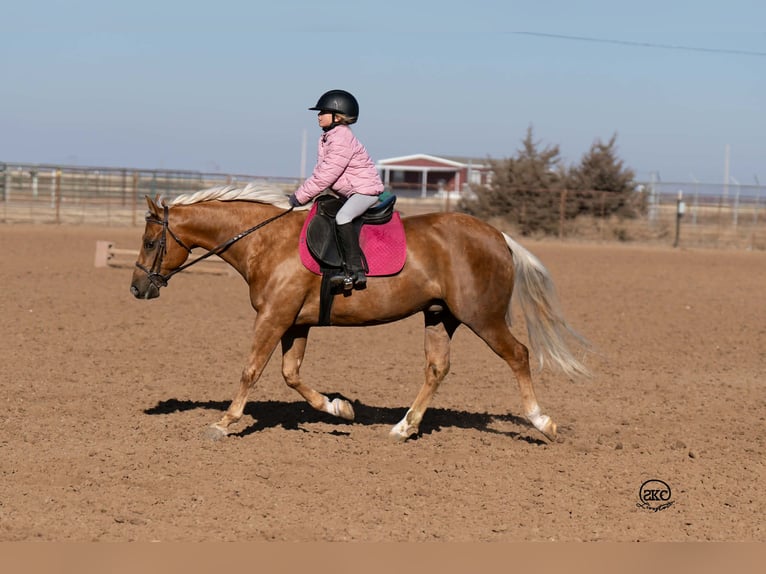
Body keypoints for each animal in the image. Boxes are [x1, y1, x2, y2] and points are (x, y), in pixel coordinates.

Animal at [129, 183, 589, 443]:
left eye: (151, 242)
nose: (137, 289)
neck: (266, 242)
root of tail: (499, 237)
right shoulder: (294, 323)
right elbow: (290, 374)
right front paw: (340, 408)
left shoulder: (273, 318)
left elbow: (251, 370)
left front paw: (224, 422)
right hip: (440, 316)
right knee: (436, 368)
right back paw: (404, 427)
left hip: (483, 317)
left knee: (518, 356)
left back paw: (542, 423)